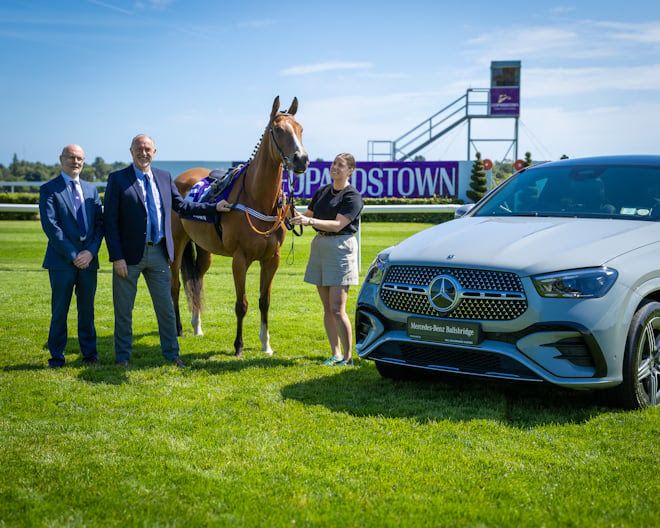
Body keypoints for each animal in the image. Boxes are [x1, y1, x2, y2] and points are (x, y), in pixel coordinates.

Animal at [170, 97, 310, 356]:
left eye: (300, 129)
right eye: (278, 130)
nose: (301, 159)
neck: (257, 198)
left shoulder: (272, 259)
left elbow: (264, 301)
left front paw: (266, 344)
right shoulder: (240, 259)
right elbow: (241, 304)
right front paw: (238, 346)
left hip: (204, 249)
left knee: (197, 280)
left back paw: (197, 326)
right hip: (177, 242)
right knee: (174, 285)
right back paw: (178, 328)